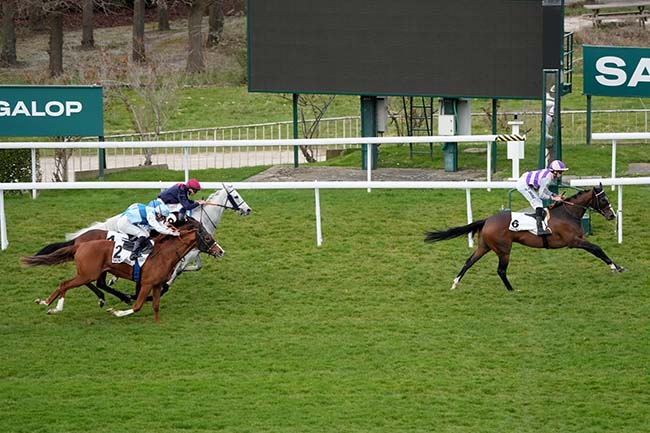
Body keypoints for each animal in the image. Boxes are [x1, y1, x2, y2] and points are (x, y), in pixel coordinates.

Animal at [22, 219, 224, 320]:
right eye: (207, 237)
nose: (220, 251)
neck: (163, 254)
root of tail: (79, 244)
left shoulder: (156, 284)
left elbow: (155, 305)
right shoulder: (146, 283)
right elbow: (138, 305)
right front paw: (117, 311)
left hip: (90, 273)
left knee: (83, 284)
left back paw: (47, 303)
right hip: (88, 273)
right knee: (66, 284)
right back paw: (54, 307)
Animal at [32, 185, 251, 304]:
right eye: (236, 196)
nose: (248, 210)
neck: (198, 219)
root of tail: (79, 239)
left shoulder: (193, 252)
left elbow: (193, 267)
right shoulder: (186, 252)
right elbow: (176, 272)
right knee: (88, 280)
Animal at [422, 184, 624, 292]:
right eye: (604, 200)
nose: (612, 215)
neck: (568, 213)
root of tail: (487, 220)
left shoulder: (578, 239)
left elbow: (597, 249)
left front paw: (619, 266)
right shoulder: (573, 241)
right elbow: (597, 249)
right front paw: (615, 267)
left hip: (484, 247)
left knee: (468, 262)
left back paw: (455, 283)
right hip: (504, 250)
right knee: (501, 270)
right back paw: (511, 289)